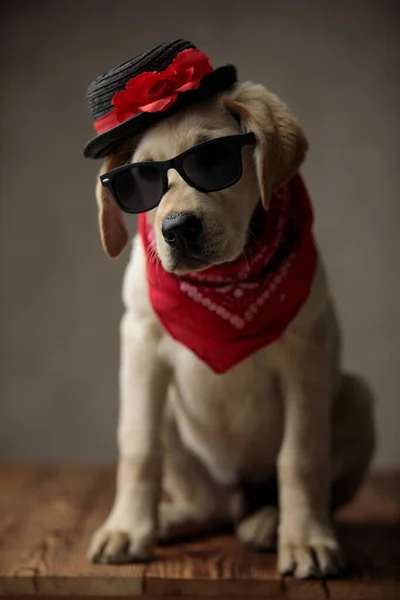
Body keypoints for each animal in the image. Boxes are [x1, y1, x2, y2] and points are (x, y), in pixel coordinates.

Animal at [86, 78, 376, 576]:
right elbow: (139, 447)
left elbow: (300, 458)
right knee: (213, 506)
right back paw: (169, 519)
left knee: (281, 495)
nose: (178, 229)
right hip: (173, 415)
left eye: (213, 160)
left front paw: (305, 539)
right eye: (140, 180)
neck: (225, 286)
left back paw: (269, 523)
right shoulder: (141, 346)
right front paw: (126, 529)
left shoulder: (307, 353)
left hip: (356, 396)